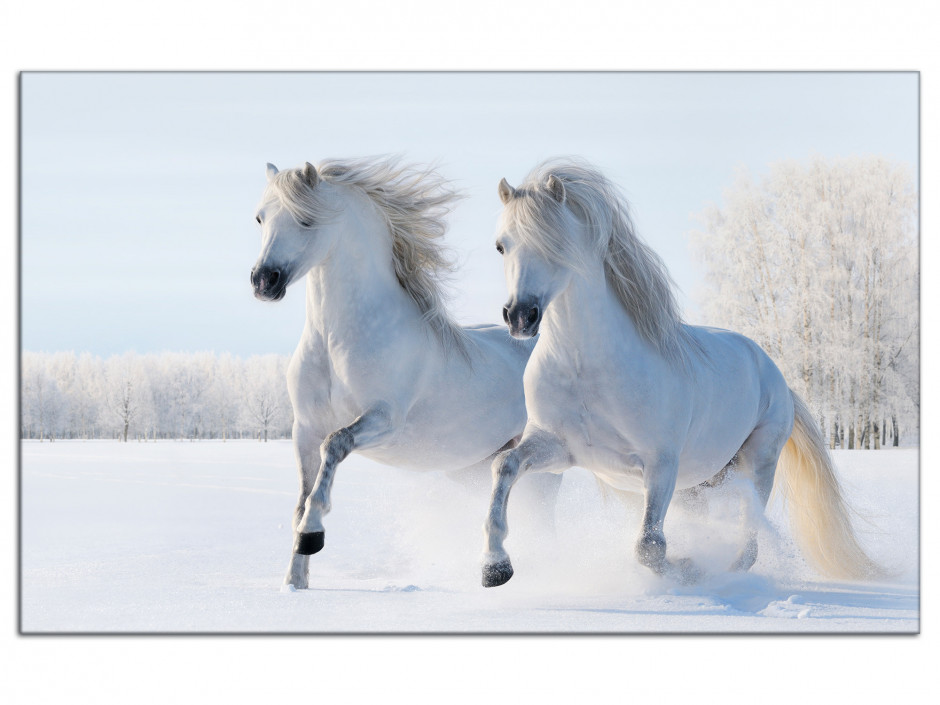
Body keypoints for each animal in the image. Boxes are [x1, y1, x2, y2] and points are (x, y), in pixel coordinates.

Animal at [248, 155, 560, 588]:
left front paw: (312, 536)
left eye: (306, 220)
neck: (335, 341)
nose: (264, 281)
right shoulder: (304, 429)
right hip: (473, 468)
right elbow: (301, 497)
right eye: (260, 218)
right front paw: (295, 582)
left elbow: (334, 446)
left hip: (544, 466)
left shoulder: (383, 420)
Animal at [482, 160, 876, 588]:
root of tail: (774, 372)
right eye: (501, 245)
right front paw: (495, 566)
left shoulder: (660, 465)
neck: (586, 368)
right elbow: (504, 466)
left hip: (758, 463)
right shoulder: (558, 448)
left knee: (749, 540)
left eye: (555, 242)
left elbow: (649, 547)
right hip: (698, 485)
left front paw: (688, 569)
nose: (520, 316)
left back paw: (726, 574)